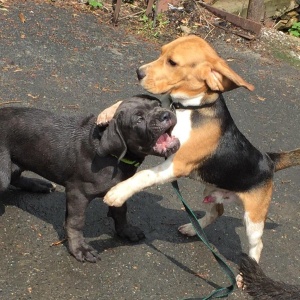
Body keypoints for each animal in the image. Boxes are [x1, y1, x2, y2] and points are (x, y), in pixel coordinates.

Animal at [0, 95, 179, 262]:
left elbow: (121, 211)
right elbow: (76, 221)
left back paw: (38, 184)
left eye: (157, 105)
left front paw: (126, 230)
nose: (166, 114)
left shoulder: (118, 188)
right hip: (4, 171)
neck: (114, 156)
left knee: (16, 175)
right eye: (139, 119)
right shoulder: (78, 192)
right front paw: (80, 248)